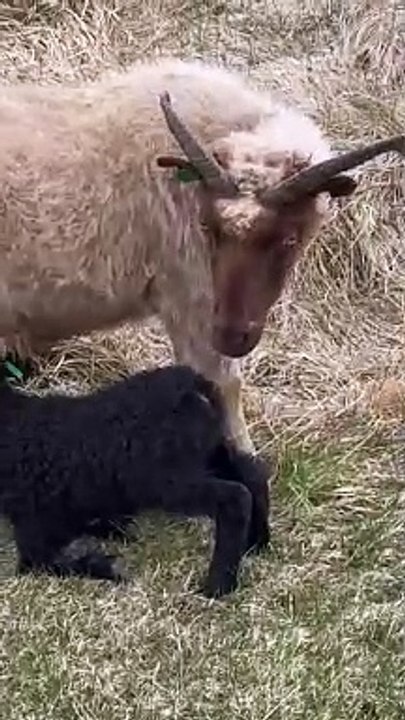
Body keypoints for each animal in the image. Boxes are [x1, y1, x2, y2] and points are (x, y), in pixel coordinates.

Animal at [0, 364, 271, 599]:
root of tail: (190, 382)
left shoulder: (35, 520)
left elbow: (38, 562)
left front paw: (107, 566)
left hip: (167, 480)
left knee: (235, 497)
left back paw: (218, 585)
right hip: (209, 453)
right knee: (253, 475)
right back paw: (257, 543)